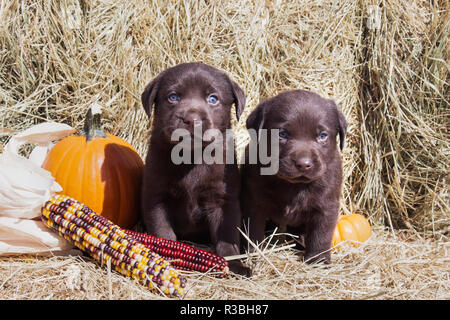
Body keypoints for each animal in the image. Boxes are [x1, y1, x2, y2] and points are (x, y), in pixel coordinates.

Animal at [241, 89, 346, 264]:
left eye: (322, 136)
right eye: (282, 134)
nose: (304, 164)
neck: (293, 185)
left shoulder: (327, 205)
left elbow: (321, 235)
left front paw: (318, 261)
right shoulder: (254, 202)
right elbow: (253, 231)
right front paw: (253, 255)